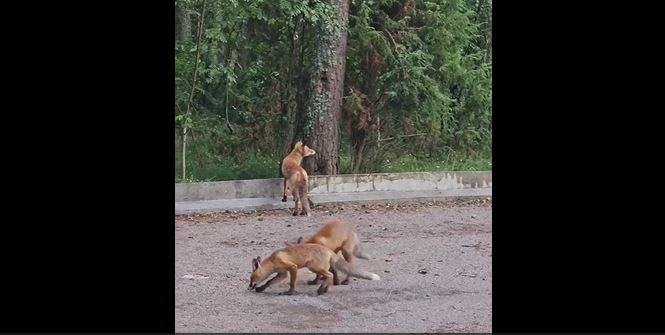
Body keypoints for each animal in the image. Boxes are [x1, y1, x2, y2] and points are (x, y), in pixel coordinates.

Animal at [248, 243, 378, 296]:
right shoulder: (282, 274)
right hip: (318, 267)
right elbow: (269, 282)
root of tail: (328, 249)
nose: (249, 287)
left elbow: (292, 283)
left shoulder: (292, 267)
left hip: (312, 266)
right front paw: (261, 289)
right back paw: (325, 289)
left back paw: (321, 290)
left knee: (329, 275)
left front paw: (289, 293)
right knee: (329, 276)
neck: (273, 260)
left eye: (251, 278)